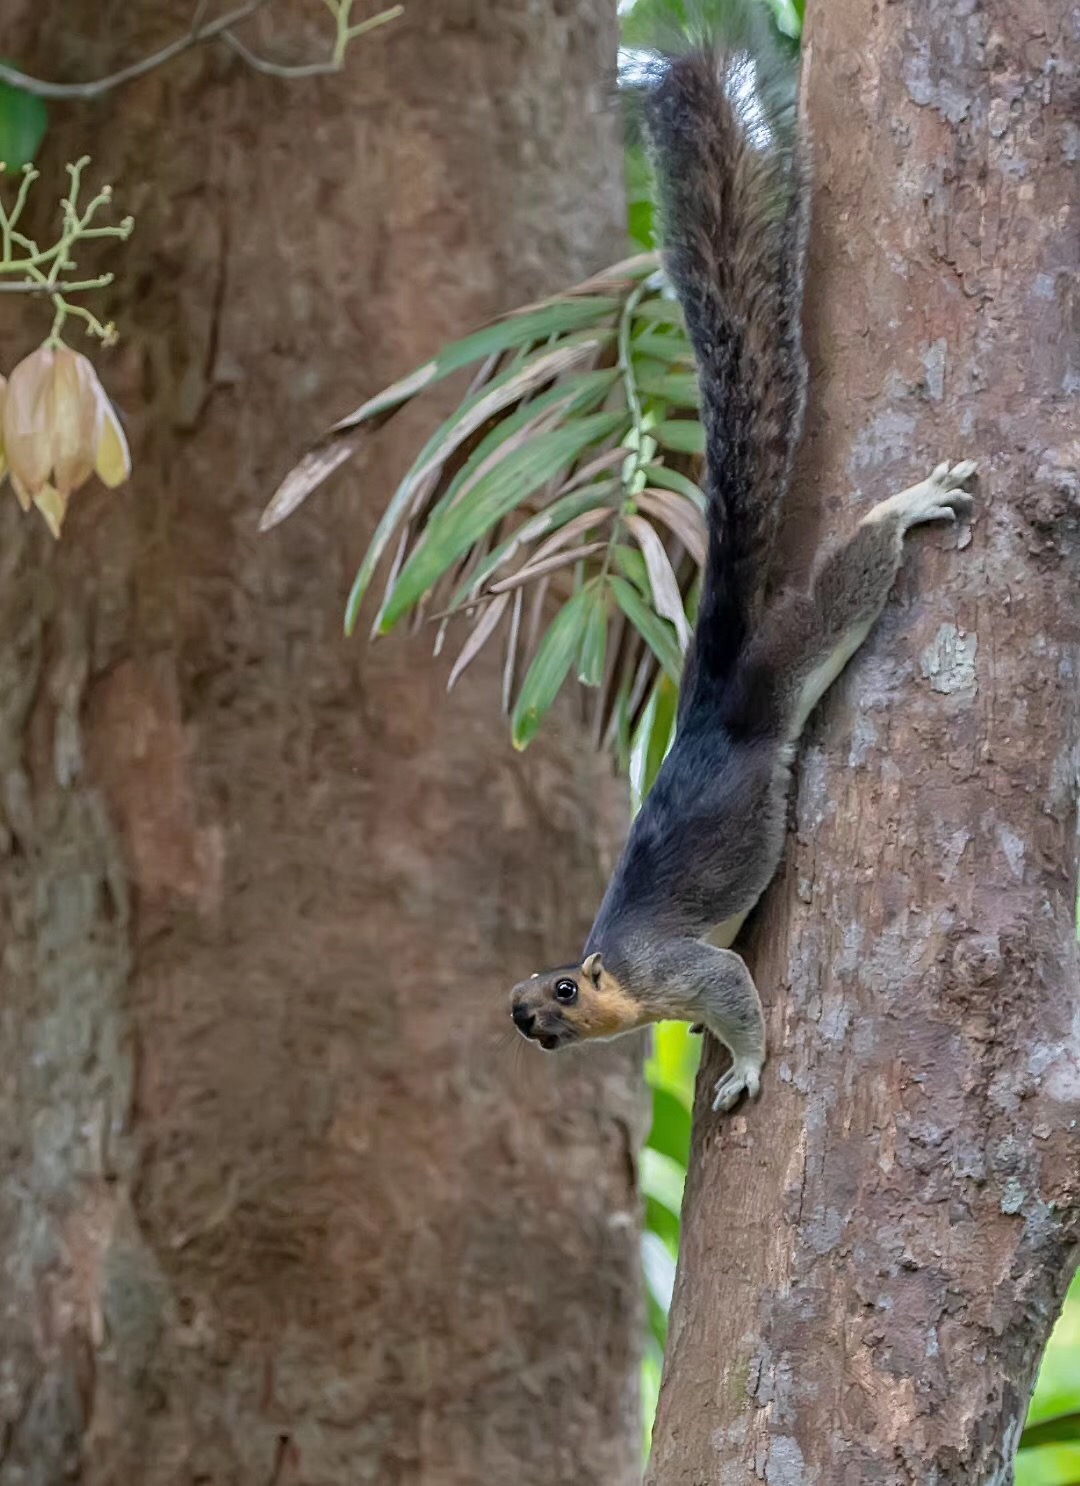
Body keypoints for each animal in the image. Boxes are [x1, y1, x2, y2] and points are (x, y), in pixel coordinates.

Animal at [511, 2, 974, 1117]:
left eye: (561, 987)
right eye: (526, 1002)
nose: (530, 1020)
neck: (615, 975)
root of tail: (710, 700)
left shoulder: (673, 964)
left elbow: (725, 987)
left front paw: (748, 1069)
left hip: (781, 674)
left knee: (840, 599)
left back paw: (903, 509)